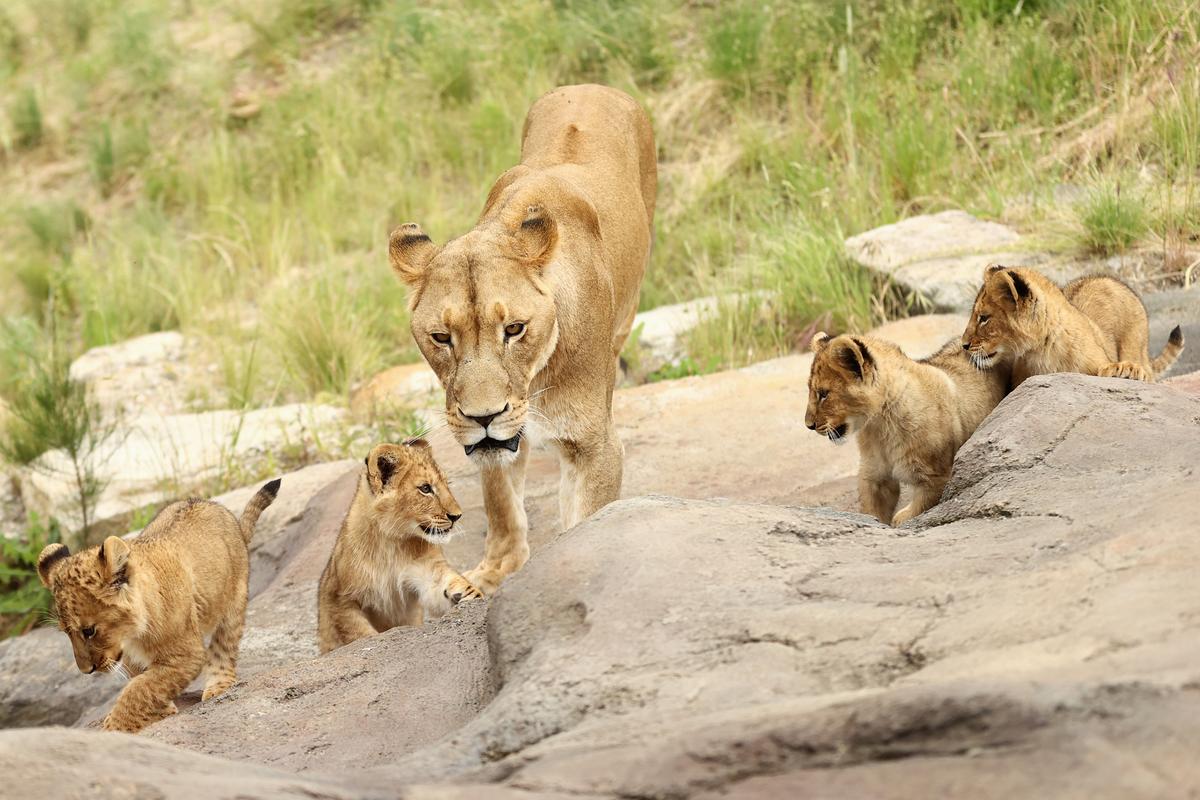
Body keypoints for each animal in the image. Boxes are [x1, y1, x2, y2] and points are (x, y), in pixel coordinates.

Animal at [36, 479, 281, 733]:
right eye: (67, 633)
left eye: (89, 631)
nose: (86, 671)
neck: (131, 635)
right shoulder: (132, 659)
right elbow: (145, 682)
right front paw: (161, 710)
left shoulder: (186, 654)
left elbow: (140, 689)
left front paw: (114, 728)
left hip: (234, 601)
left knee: (224, 646)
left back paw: (219, 685)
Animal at [317, 441, 480, 654]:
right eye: (425, 488)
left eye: (447, 484)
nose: (457, 516)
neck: (391, 542)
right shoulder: (339, 600)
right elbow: (359, 634)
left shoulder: (426, 569)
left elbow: (443, 583)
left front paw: (470, 593)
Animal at [388, 84, 656, 594]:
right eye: (441, 337)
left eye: (514, 329)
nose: (484, 416)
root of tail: (589, 85)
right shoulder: (488, 444)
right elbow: (501, 503)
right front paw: (491, 574)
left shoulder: (596, 446)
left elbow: (585, 520)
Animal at [805, 333, 1009, 526]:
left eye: (823, 394)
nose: (809, 425)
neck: (880, 426)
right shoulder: (874, 475)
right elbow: (872, 510)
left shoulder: (937, 477)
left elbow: (916, 510)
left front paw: (899, 519)